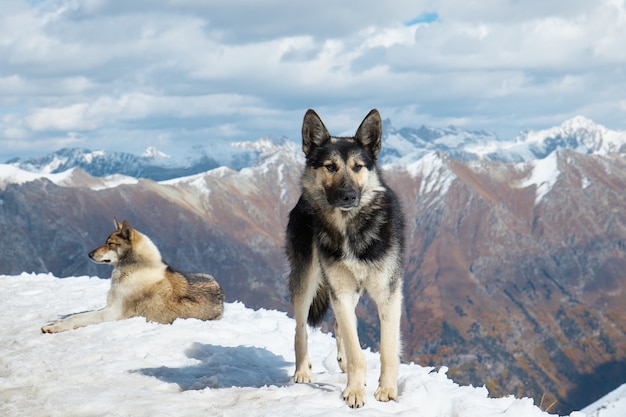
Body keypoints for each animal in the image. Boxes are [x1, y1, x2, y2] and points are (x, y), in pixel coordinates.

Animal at [41, 218, 223, 332]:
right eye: (105, 242)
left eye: (110, 244)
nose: (89, 254)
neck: (134, 269)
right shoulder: (109, 307)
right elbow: (77, 315)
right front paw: (55, 322)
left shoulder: (113, 312)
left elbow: (77, 319)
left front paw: (53, 327)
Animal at [286, 107, 404, 406]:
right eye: (330, 166)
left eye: (358, 167)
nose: (349, 196)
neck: (351, 227)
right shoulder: (340, 290)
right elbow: (355, 350)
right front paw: (354, 391)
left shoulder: (388, 293)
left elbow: (387, 348)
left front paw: (387, 390)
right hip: (307, 278)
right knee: (301, 327)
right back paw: (303, 370)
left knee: (339, 325)